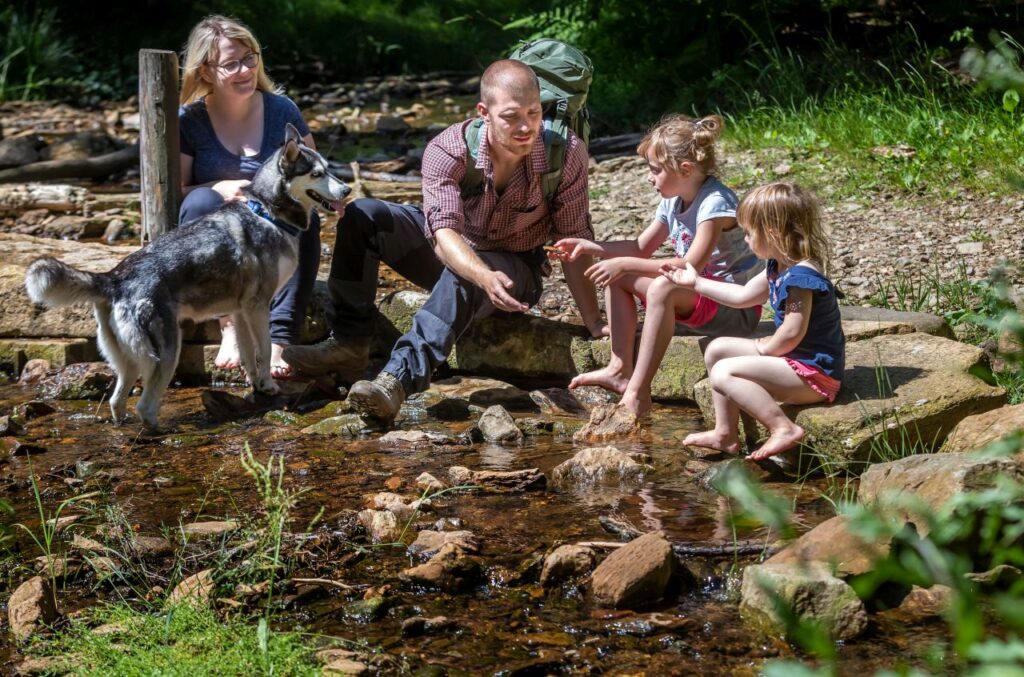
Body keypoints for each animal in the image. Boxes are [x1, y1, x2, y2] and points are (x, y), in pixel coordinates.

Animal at [24, 122, 350, 428]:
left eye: (329, 169)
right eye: (317, 173)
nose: (347, 190)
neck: (266, 212)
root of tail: (114, 277)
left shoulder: (241, 311)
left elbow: (248, 355)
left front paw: (256, 384)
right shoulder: (258, 306)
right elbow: (266, 349)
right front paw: (269, 385)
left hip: (129, 360)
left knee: (117, 401)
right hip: (167, 352)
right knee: (145, 404)